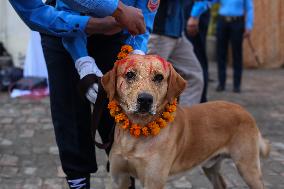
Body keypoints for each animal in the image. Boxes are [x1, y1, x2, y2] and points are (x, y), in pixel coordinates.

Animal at [101, 54, 270, 189]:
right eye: (130, 74)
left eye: (159, 77)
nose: (145, 100)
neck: (135, 135)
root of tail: (244, 111)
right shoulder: (119, 179)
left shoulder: (153, 182)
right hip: (212, 166)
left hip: (247, 167)